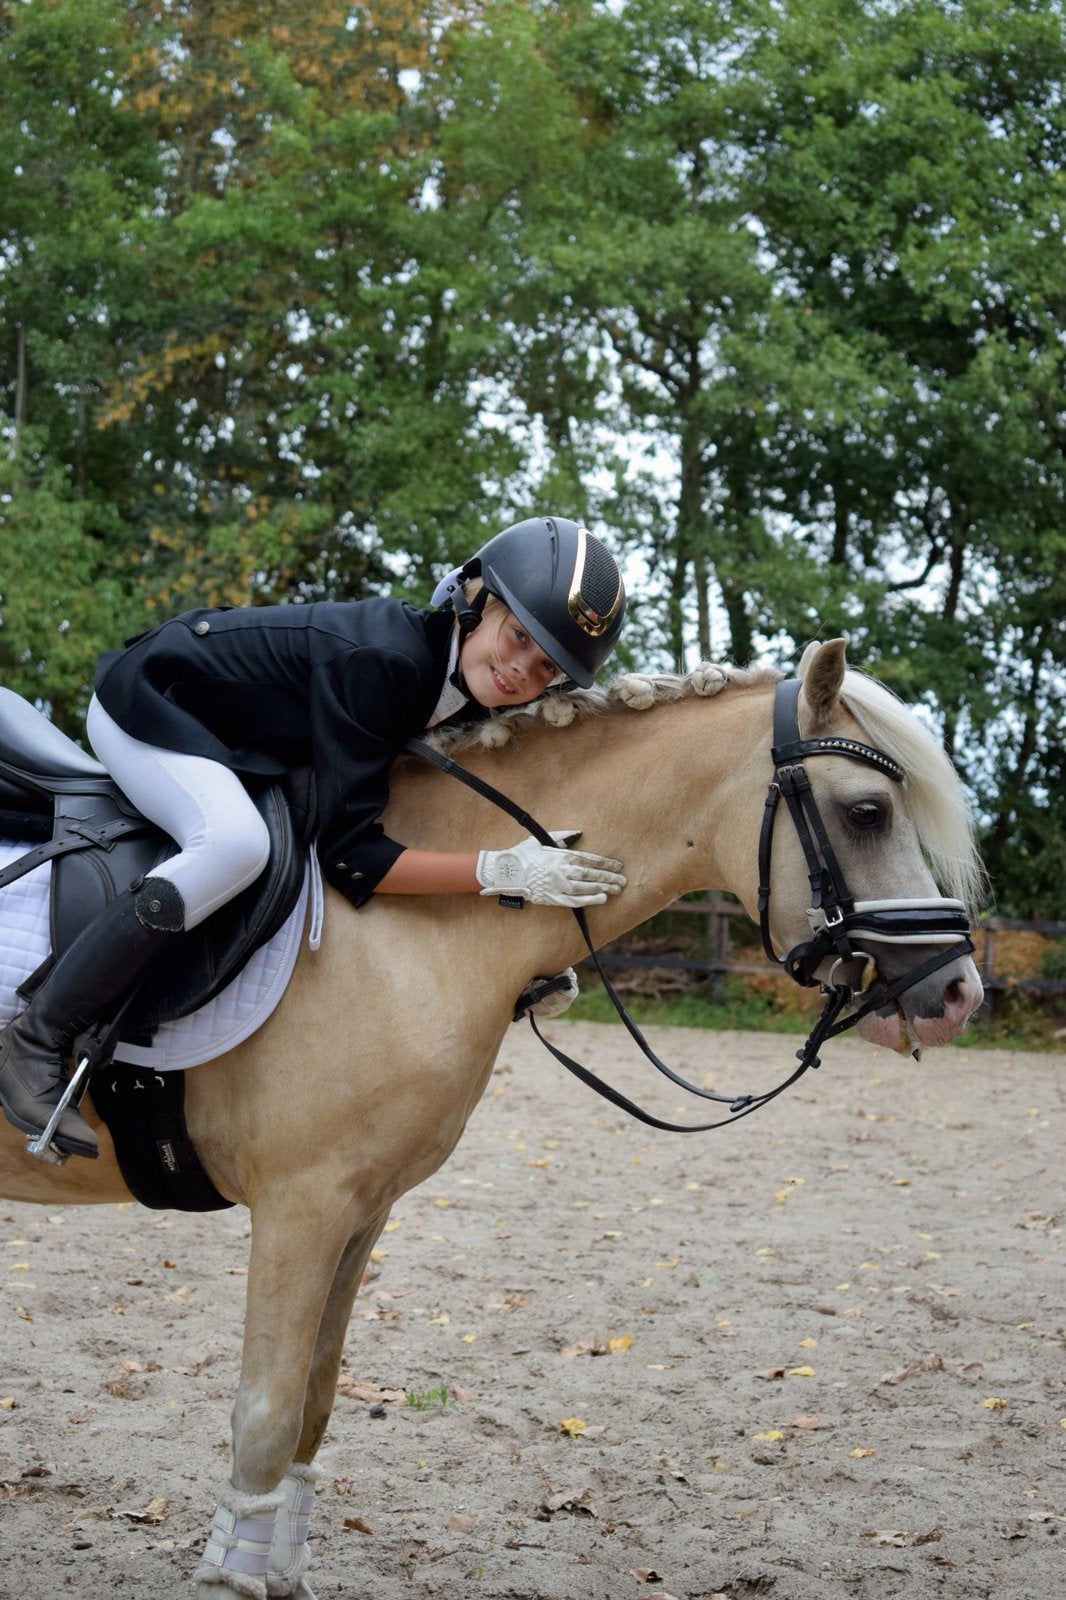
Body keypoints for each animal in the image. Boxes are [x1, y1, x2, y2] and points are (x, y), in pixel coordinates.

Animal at [0, 639, 985, 1599]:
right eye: (866, 812)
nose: (958, 995)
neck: (403, 930)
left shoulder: (360, 1211)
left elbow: (315, 1401)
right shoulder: (300, 1207)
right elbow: (268, 1414)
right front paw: (233, 1575)